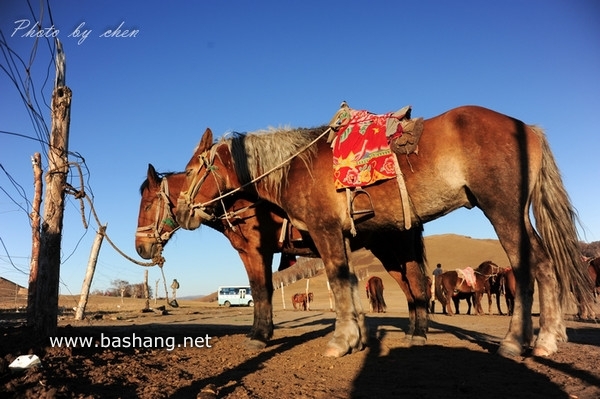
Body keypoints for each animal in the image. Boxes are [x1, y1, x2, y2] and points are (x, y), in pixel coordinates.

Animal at [136, 164, 426, 348]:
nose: (140, 247)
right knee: (409, 288)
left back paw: (419, 334)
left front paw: (259, 335)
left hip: (396, 249)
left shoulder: (254, 252)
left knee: (416, 284)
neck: (235, 203)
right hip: (389, 254)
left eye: (148, 205)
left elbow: (260, 290)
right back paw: (413, 332)